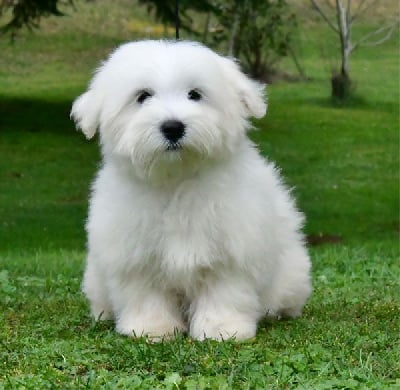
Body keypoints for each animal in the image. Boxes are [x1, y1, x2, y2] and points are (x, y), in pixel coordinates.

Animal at [70, 40, 310, 342]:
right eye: (143, 96)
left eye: (194, 95)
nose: (173, 127)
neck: (176, 180)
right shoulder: (135, 254)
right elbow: (146, 294)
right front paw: (151, 328)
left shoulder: (231, 249)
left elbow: (225, 291)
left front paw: (222, 328)